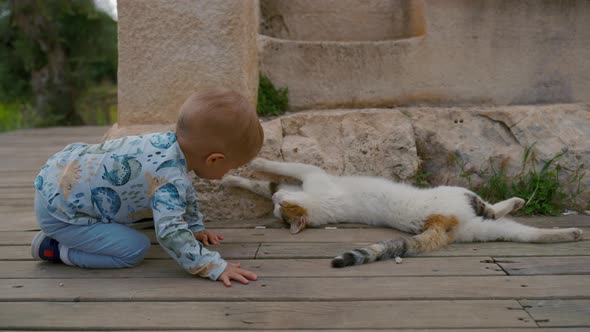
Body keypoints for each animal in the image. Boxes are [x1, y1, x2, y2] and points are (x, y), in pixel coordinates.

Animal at [223, 158, 588, 268]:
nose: (276, 202)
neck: (318, 205)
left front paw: (237, 173)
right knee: (502, 218)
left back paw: (566, 230)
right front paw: (249, 167)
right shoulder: (307, 176)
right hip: (471, 212)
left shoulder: (304, 177)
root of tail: (442, 222)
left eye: (280, 209)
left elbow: (270, 174)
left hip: (480, 224)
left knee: (516, 226)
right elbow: (274, 172)